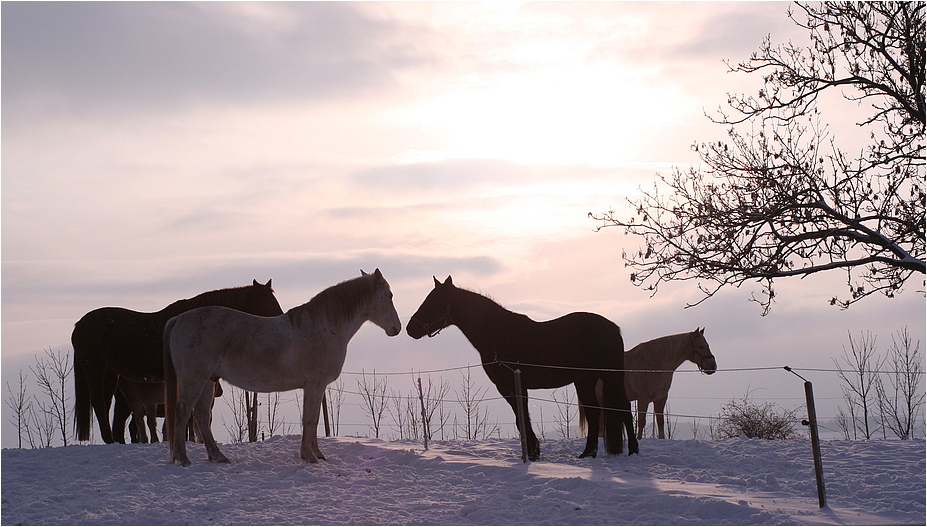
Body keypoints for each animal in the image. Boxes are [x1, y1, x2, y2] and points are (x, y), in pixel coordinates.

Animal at [75, 280, 282, 446]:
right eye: (267, 301)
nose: (282, 319)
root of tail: (79, 325)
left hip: (111, 374)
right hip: (96, 369)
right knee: (100, 404)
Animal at [166, 270, 398, 464]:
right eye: (389, 295)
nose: (396, 328)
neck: (324, 327)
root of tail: (178, 319)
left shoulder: (316, 387)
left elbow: (313, 421)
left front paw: (317, 454)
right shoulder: (314, 386)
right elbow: (309, 420)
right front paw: (309, 456)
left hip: (208, 381)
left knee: (202, 417)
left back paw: (217, 456)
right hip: (195, 380)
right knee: (183, 412)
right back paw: (182, 458)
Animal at [408, 278, 640, 460]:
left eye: (433, 302)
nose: (411, 328)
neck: (499, 334)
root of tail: (613, 328)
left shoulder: (511, 385)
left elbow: (522, 418)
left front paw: (532, 453)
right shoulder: (509, 387)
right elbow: (521, 418)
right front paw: (532, 452)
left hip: (611, 377)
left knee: (624, 408)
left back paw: (633, 451)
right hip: (585, 380)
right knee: (594, 413)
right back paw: (587, 454)